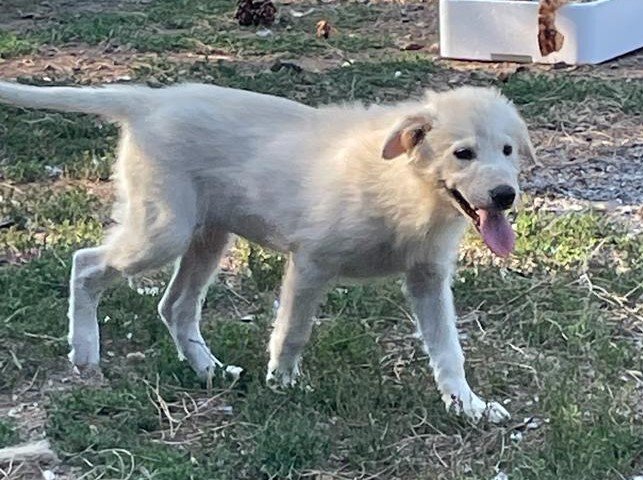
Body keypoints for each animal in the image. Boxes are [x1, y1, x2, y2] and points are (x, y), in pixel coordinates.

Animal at [0, 80, 535, 422]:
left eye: (507, 151)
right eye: (463, 153)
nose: (505, 196)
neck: (406, 187)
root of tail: (151, 99)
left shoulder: (427, 278)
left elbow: (448, 350)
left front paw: (467, 406)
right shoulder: (312, 262)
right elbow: (293, 330)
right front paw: (283, 384)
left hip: (208, 236)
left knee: (175, 307)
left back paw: (209, 370)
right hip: (163, 231)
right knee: (86, 264)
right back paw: (85, 351)